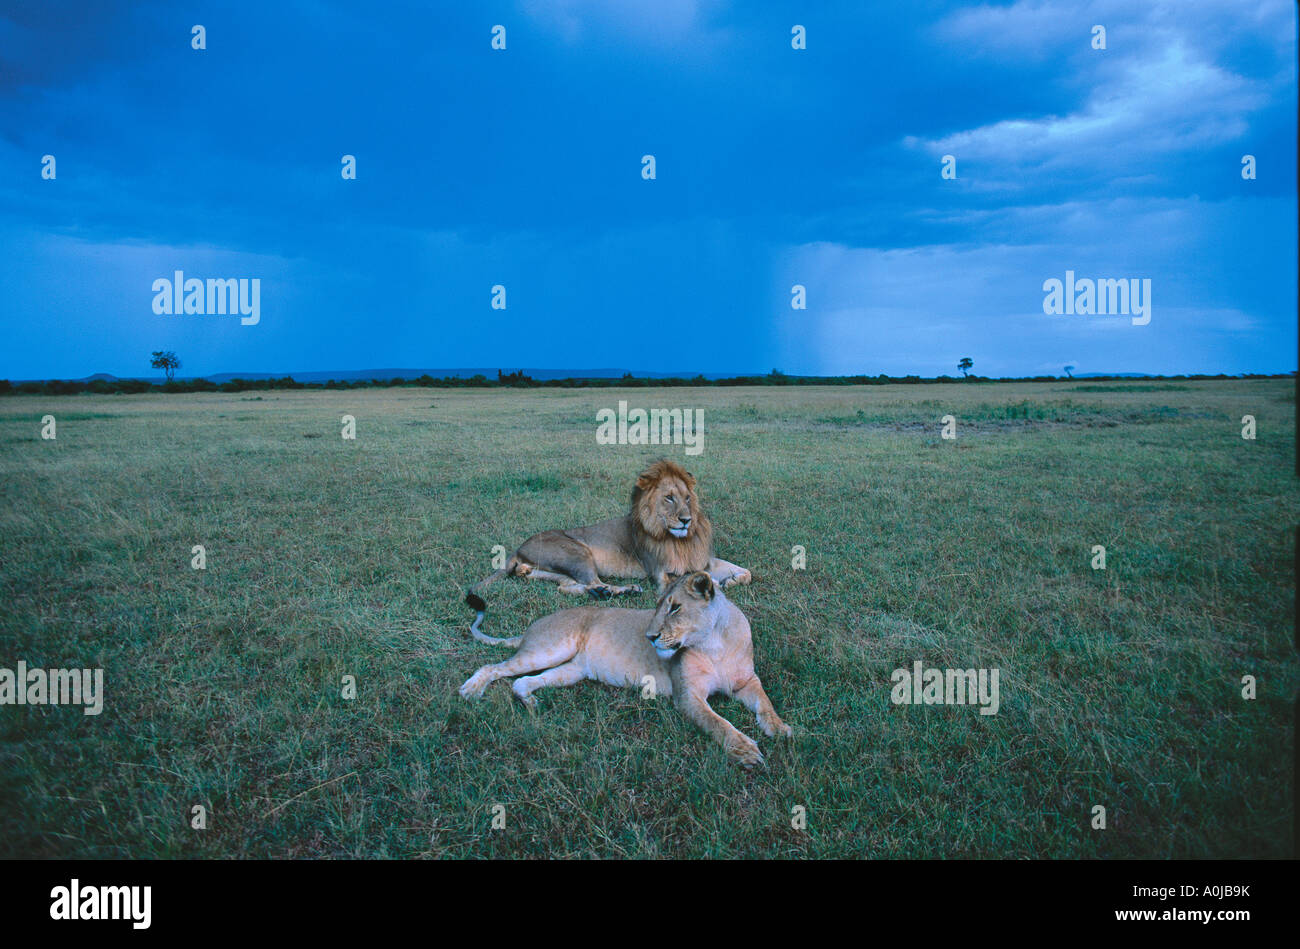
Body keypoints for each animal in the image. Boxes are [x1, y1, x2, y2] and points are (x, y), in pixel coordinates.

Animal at [458, 571, 792, 767]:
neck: (713, 643)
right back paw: (471, 690)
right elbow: (717, 723)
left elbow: (765, 702)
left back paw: (530, 702)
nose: (650, 636)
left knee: (522, 682)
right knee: (494, 667)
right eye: (657, 606)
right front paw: (746, 750)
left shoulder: (746, 681)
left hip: (571, 671)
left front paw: (779, 728)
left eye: (675, 608)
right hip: (549, 650)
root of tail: (531, 627)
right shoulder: (687, 696)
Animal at [464, 460, 750, 634]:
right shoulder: (661, 574)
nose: (686, 519)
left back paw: (600, 593)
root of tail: (519, 547)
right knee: (590, 581)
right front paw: (717, 584)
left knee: (566, 586)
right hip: (578, 552)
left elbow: (745, 572)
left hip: (555, 569)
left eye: (688, 498)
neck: (680, 539)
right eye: (669, 498)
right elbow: (696, 579)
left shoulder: (704, 560)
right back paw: (621, 591)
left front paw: (732, 580)